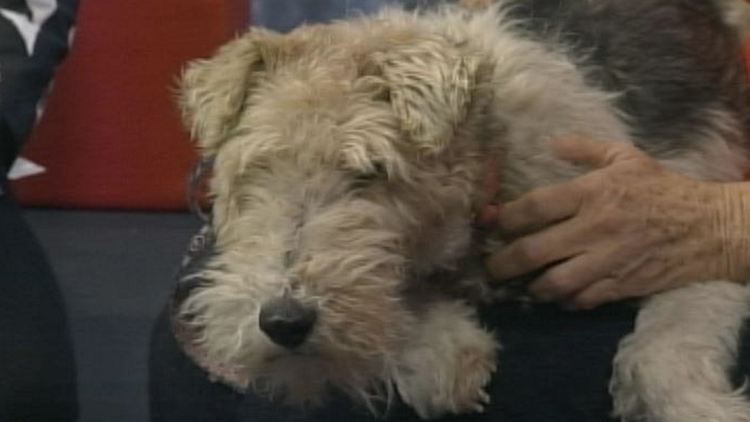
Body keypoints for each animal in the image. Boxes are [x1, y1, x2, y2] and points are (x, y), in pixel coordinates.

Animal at [173, 1, 750, 420]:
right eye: (256, 169)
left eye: (371, 172)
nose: (284, 322)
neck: (495, 156)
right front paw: (445, 354)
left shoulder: (677, 217)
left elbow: (662, 349)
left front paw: (709, 409)